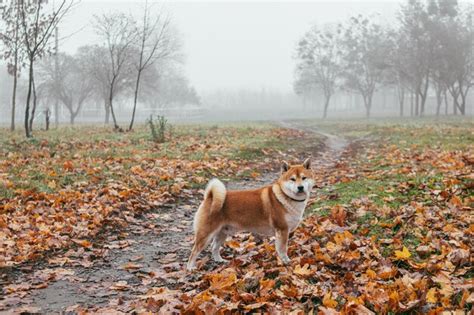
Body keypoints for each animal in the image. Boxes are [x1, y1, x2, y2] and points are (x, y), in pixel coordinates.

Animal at [186, 159, 314, 270]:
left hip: (222, 232)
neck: (285, 197)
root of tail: (209, 197)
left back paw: (220, 260)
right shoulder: (282, 230)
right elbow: (282, 249)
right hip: (206, 234)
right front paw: (286, 261)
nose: (300, 187)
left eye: (304, 178)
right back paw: (190, 267)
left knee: (214, 248)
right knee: (195, 251)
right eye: (292, 179)